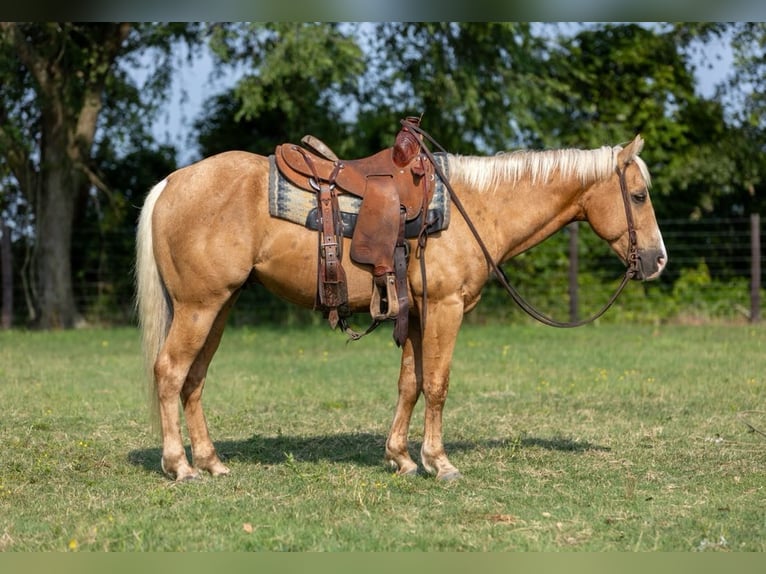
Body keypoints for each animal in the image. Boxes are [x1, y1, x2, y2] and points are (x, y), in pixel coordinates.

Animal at [135, 134, 668, 482]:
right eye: (639, 195)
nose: (658, 260)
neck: (475, 207)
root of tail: (170, 183)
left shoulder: (419, 313)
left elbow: (410, 383)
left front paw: (402, 458)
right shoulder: (446, 308)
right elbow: (437, 384)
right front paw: (440, 462)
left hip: (219, 306)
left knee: (194, 378)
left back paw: (210, 462)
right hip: (200, 306)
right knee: (169, 371)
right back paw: (180, 467)